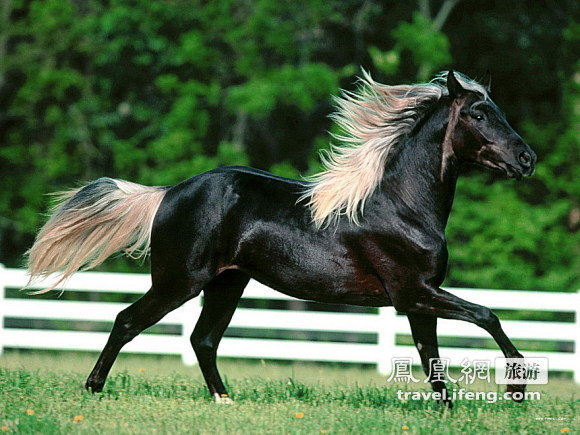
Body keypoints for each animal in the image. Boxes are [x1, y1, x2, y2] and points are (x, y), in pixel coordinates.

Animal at [27, 70, 536, 408]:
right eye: (478, 113)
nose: (527, 159)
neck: (402, 205)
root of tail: (168, 193)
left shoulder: (418, 298)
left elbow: (431, 357)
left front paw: (447, 411)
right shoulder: (413, 292)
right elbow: (487, 315)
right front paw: (516, 389)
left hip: (227, 283)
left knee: (202, 340)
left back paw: (225, 400)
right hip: (179, 282)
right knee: (127, 321)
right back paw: (93, 390)